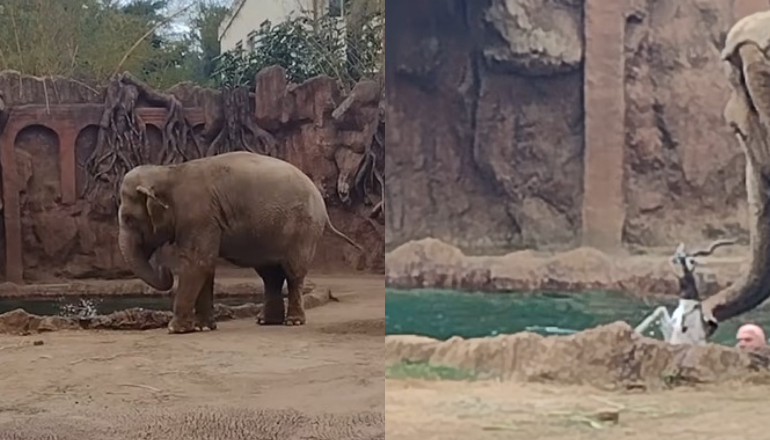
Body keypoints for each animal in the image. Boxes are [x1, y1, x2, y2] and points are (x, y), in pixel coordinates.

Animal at [117, 151, 364, 334]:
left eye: (128, 219)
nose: (164, 268)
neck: (168, 172)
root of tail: (323, 204)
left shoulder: (198, 216)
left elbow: (197, 263)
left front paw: (176, 329)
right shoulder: (205, 221)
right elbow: (205, 265)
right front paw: (203, 327)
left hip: (302, 229)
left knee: (293, 273)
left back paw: (292, 322)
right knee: (270, 275)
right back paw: (266, 321)